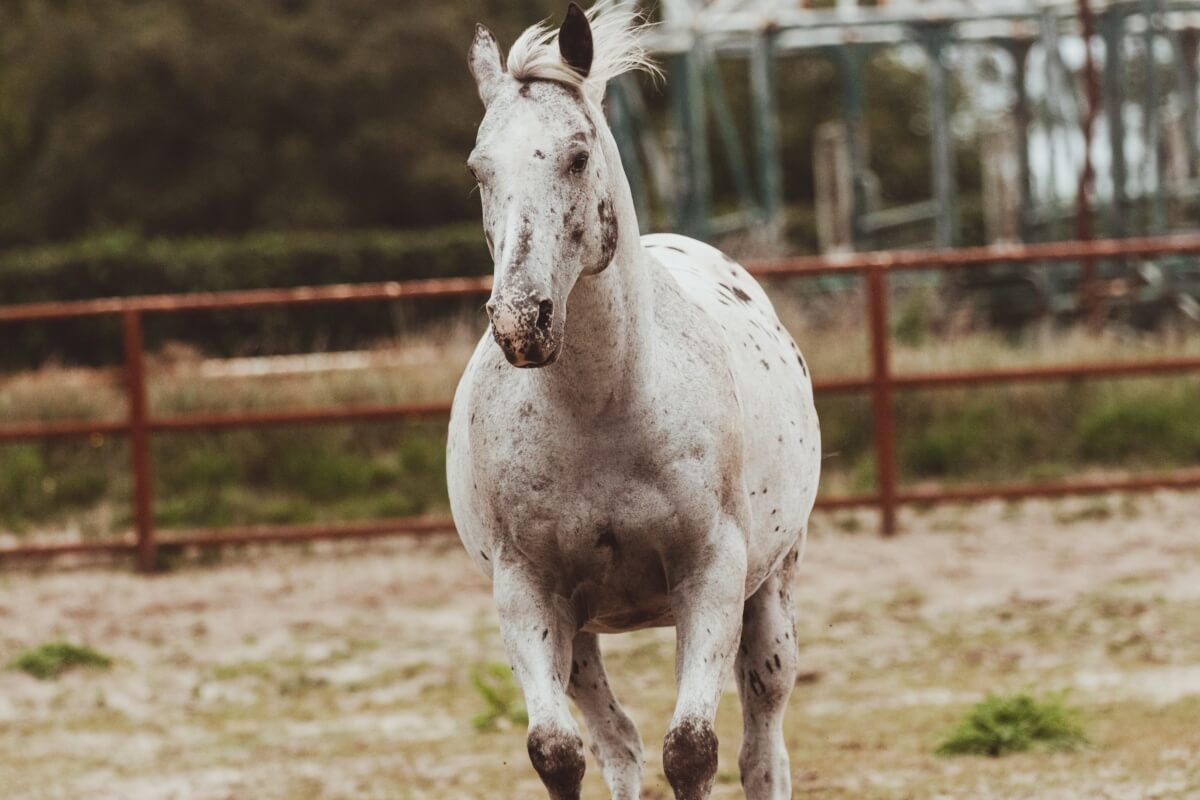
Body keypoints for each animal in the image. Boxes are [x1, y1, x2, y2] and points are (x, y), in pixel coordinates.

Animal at [446, 4, 821, 798]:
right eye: (479, 168)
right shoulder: (527, 590)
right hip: (581, 632)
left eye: (577, 156)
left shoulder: (711, 577)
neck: (602, 410)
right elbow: (558, 751)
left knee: (763, 748)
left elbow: (693, 751)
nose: (521, 321)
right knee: (616, 740)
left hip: (771, 595)